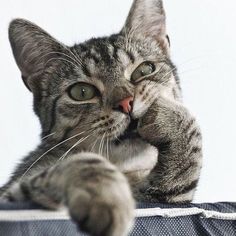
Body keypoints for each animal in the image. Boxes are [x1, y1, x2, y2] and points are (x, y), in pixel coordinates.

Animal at [0, 0, 203, 235]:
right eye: (81, 92)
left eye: (144, 70)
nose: (126, 103)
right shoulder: (11, 195)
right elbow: (84, 161)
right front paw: (107, 198)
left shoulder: (161, 196)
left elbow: (185, 166)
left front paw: (168, 116)